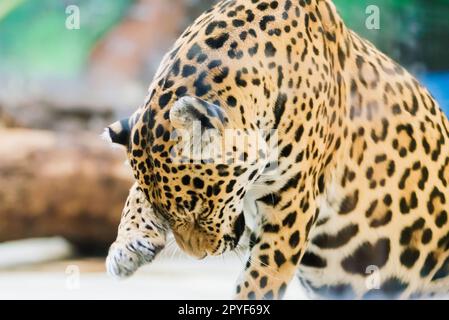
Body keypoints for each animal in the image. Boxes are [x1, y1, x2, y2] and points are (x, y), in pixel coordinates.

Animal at [103, 0, 448, 300]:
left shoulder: (292, 202)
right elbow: (135, 196)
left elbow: (262, 276)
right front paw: (126, 247)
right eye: (165, 212)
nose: (199, 255)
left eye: (200, 208)